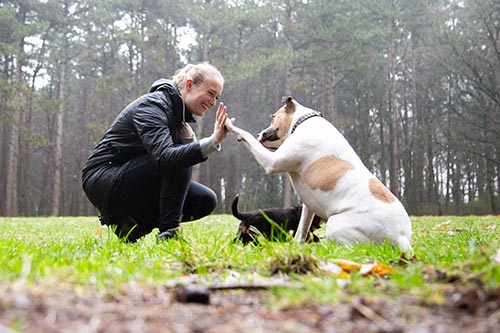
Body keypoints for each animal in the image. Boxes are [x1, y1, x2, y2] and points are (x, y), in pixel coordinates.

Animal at [227, 96, 414, 252]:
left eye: (274, 117)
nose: (260, 133)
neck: (303, 122)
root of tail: (402, 238)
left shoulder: (272, 162)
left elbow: (247, 136)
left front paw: (230, 126)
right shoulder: (308, 207)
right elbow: (301, 230)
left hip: (336, 225)